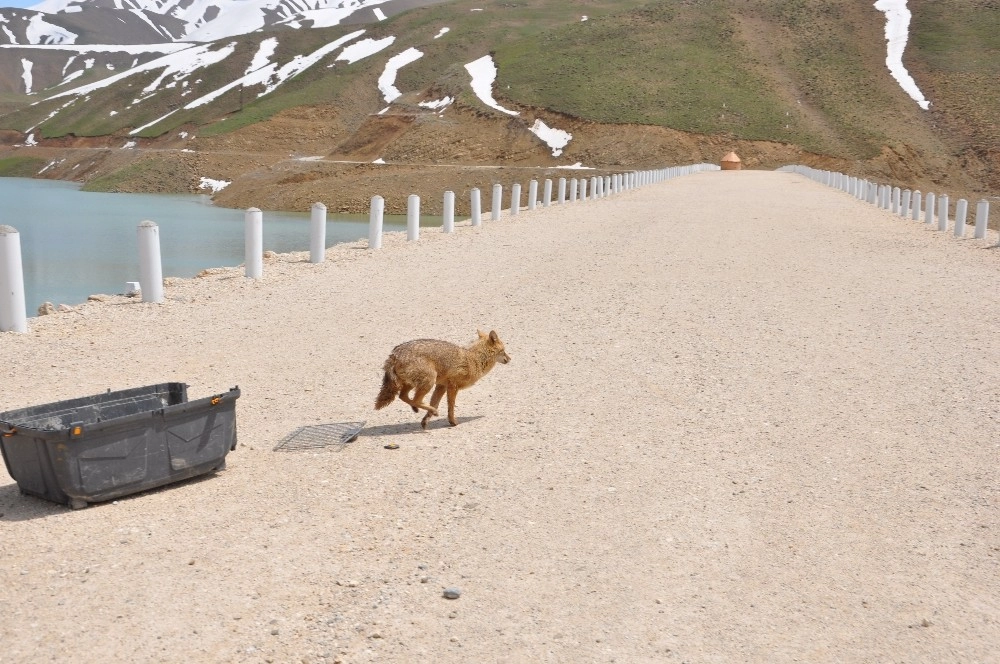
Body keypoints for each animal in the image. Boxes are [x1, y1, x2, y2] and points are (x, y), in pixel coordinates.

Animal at [376, 330, 516, 430]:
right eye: (504, 351)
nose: (510, 359)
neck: (474, 358)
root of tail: (395, 353)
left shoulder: (441, 386)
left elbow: (435, 402)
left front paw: (425, 421)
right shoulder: (452, 386)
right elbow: (451, 406)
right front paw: (452, 422)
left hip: (414, 384)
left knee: (404, 397)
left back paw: (418, 409)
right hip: (428, 381)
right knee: (414, 400)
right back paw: (428, 410)